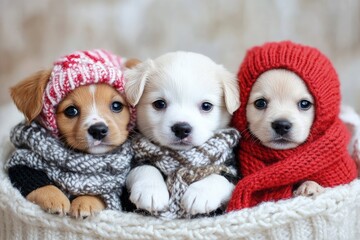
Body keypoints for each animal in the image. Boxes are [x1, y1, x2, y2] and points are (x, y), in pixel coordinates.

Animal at [7, 49, 136, 218]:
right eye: (71, 110)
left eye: (116, 105)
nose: (98, 130)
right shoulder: (21, 162)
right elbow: (37, 182)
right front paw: (54, 198)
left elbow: (98, 192)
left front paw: (85, 202)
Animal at [125, 52, 240, 218]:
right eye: (159, 103)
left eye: (206, 106)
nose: (181, 128)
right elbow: (144, 167)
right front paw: (151, 190)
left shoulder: (234, 170)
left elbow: (220, 176)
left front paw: (200, 194)